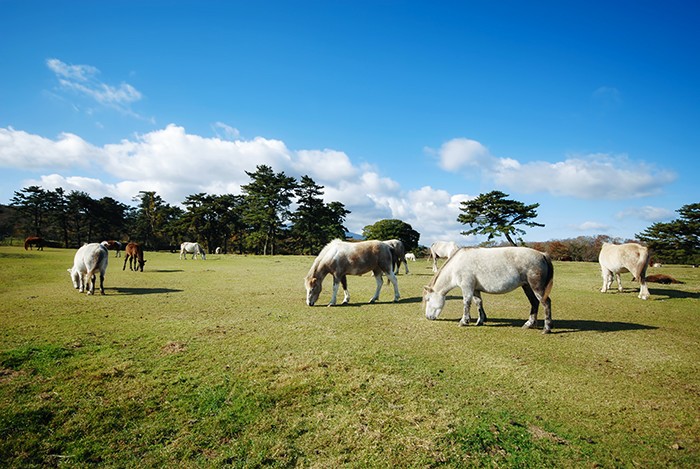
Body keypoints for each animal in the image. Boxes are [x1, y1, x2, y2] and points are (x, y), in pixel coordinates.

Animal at [424, 245, 556, 332]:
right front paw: (480, 321)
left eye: (428, 299)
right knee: (534, 303)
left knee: (546, 303)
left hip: (537, 288)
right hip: (527, 286)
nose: (427, 317)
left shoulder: (467, 287)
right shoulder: (475, 289)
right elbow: (478, 303)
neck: (457, 264)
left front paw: (464, 321)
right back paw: (529, 324)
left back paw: (546, 328)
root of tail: (542, 255)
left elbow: (466, 303)